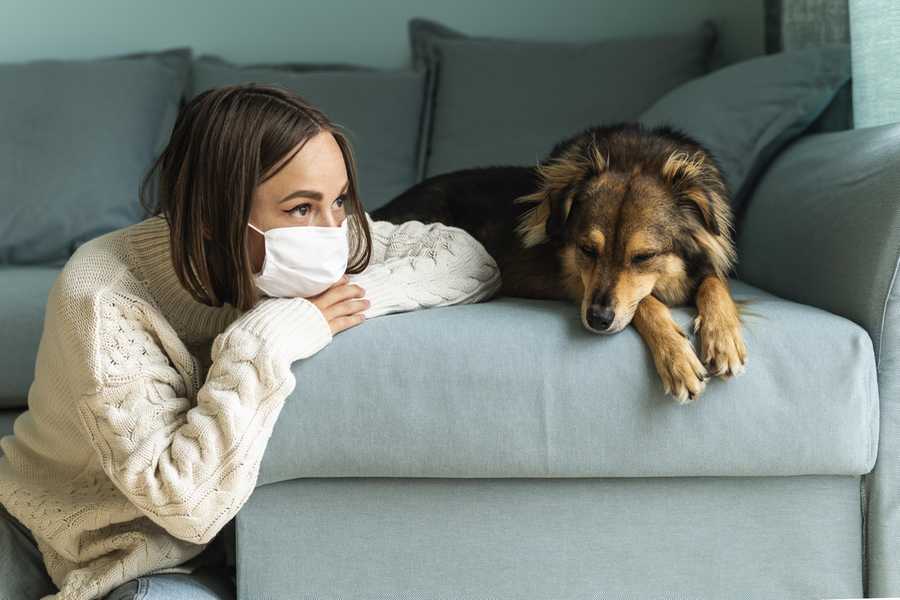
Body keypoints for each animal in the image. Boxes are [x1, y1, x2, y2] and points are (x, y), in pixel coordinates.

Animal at [372, 122, 744, 404]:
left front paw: (723, 338)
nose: (597, 320)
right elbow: (645, 303)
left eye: (643, 257)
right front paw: (677, 358)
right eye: (587, 249)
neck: (637, 157)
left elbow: (714, 282)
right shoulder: (576, 281)